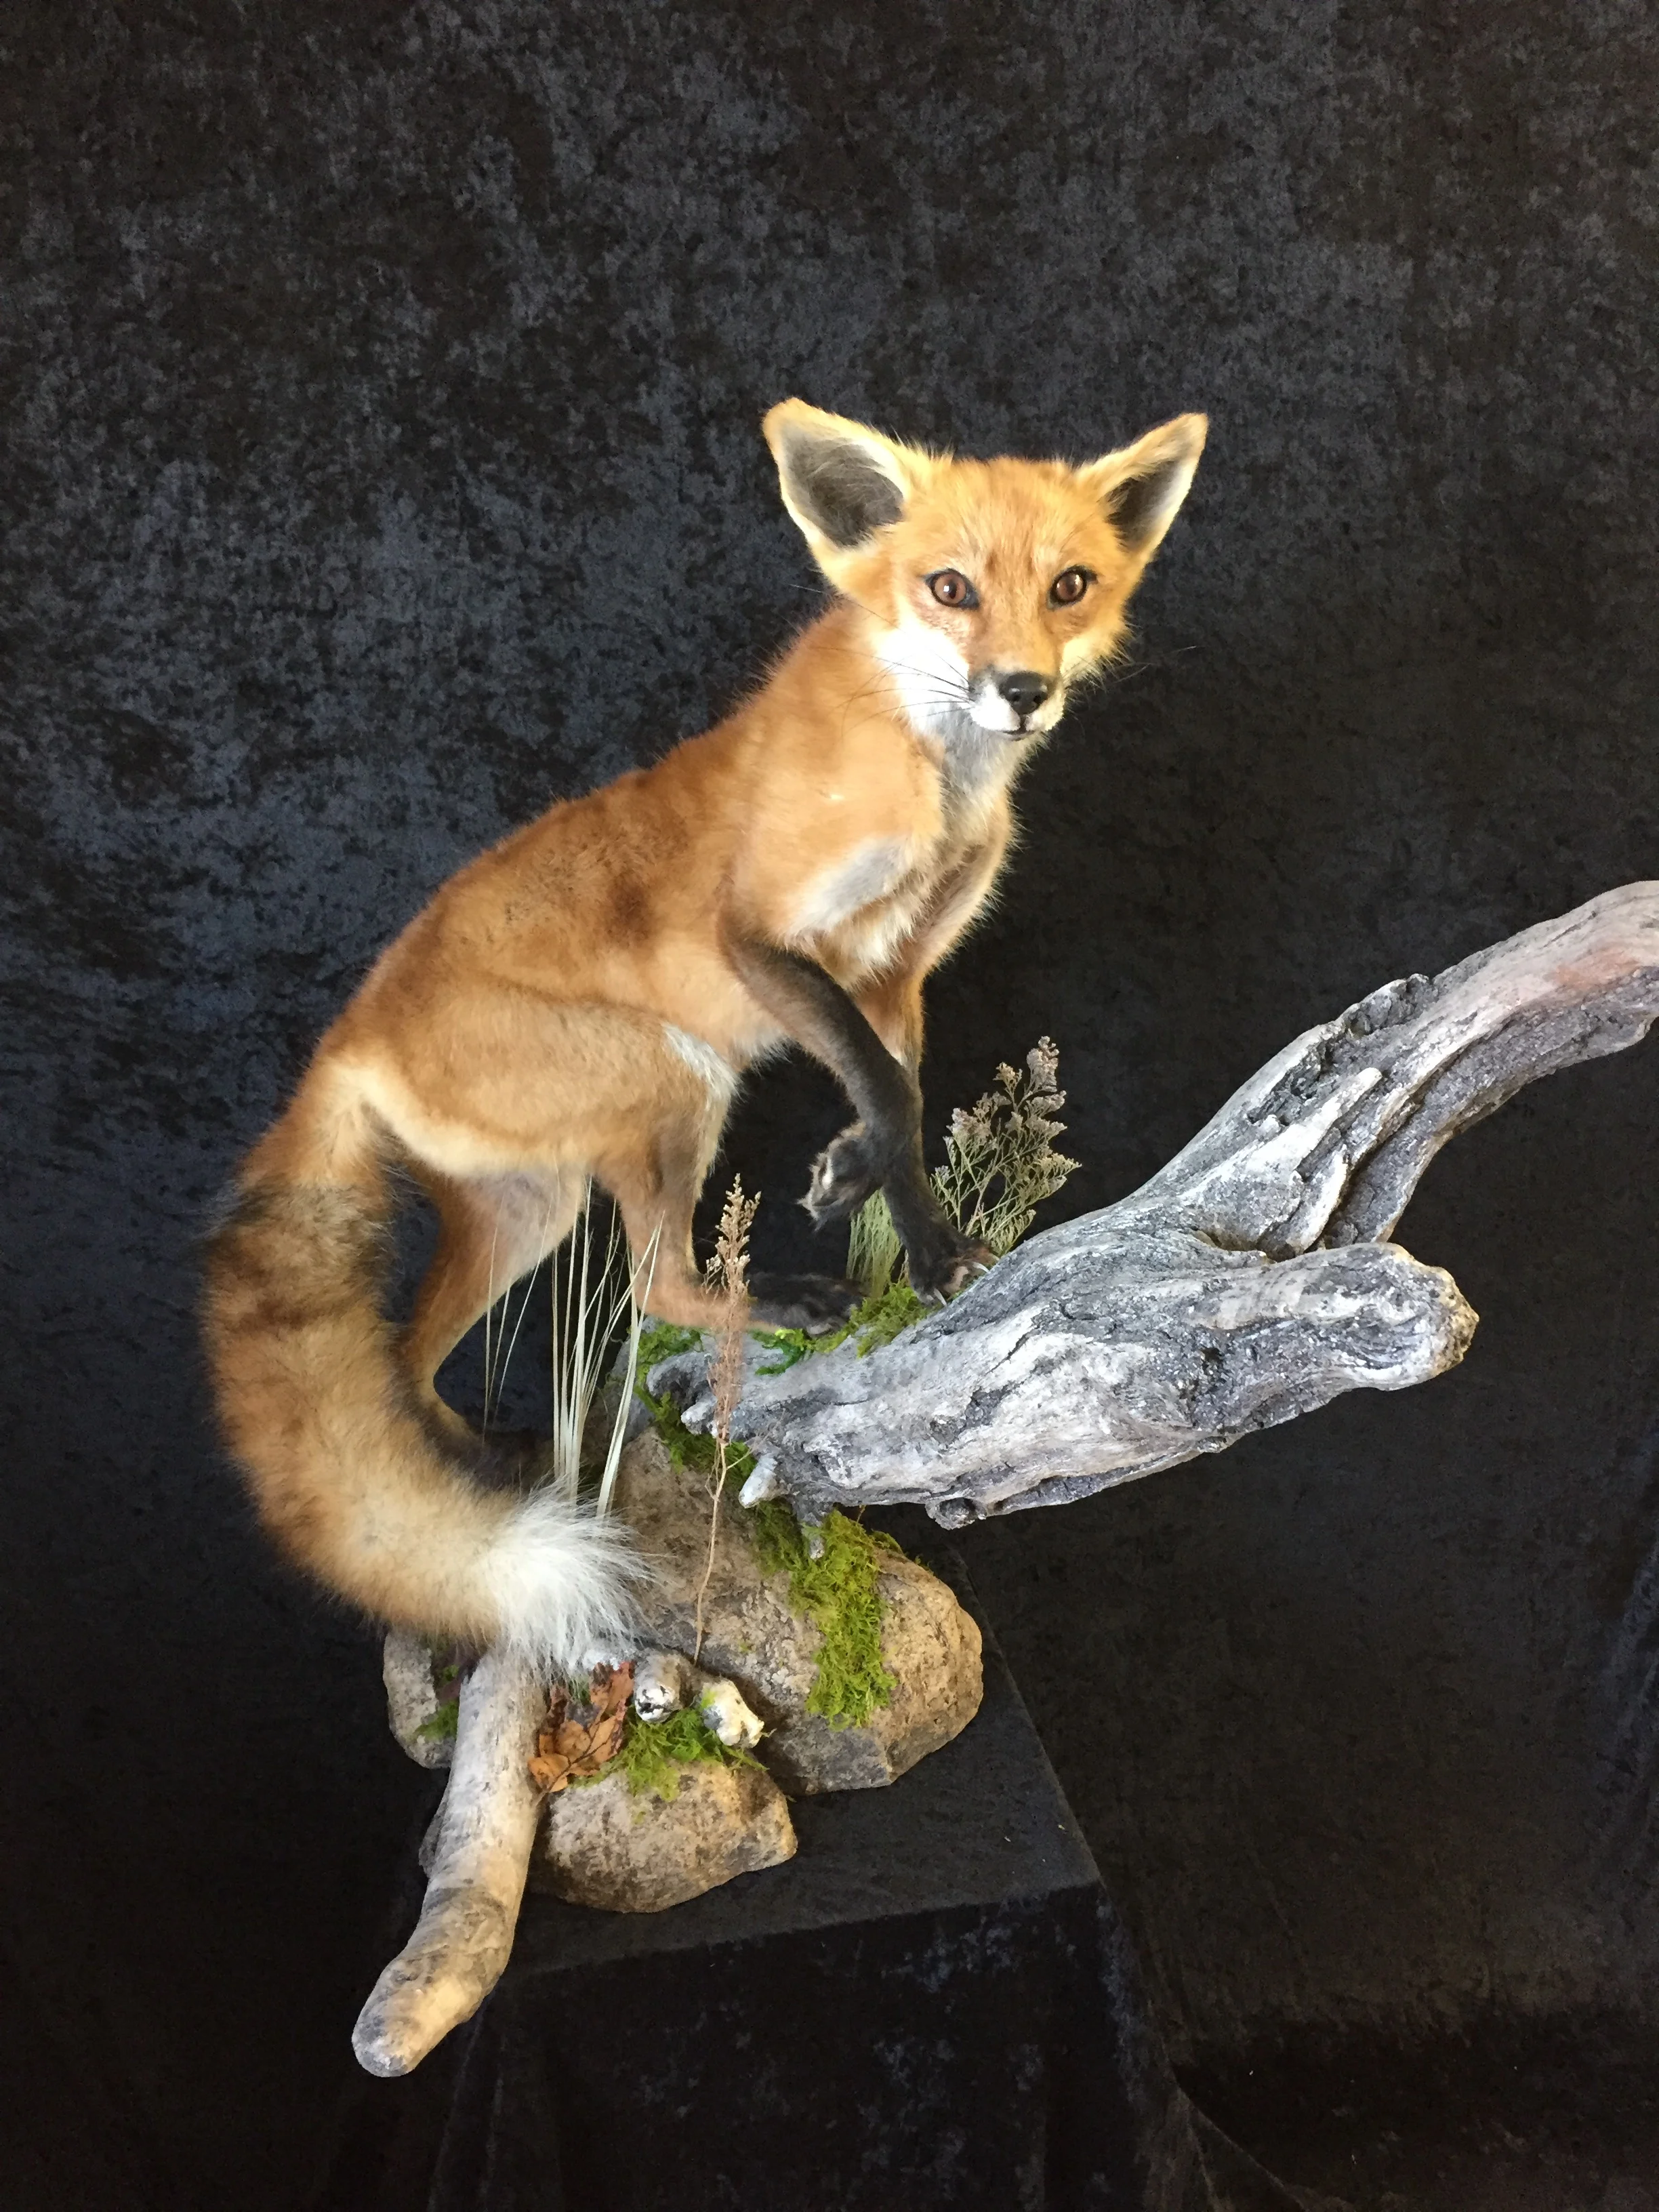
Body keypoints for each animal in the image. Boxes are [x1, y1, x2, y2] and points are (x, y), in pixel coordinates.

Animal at [203, 399, 1207, 1669]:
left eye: (1071, 585)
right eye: (950, 588)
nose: (1022, 688)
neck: (932, 782)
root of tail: (345, 1040)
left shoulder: (895, 974)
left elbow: (900, 1106)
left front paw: (903, 1230)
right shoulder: (763, 939)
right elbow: (887, 1093)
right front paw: (878, 1213)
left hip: (532, 1206)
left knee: (411, 1364)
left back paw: (504, 1464)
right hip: (674, 1087)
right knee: (660, 1293)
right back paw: (772, 1312)